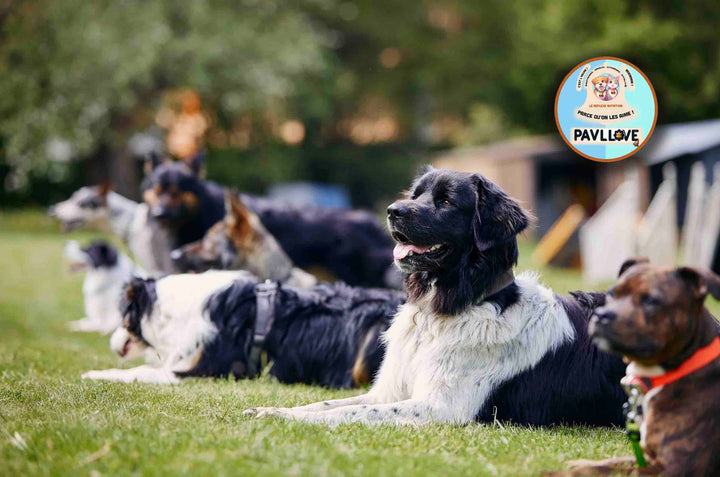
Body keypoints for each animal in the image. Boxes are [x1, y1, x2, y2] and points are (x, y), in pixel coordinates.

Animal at [245, 168, 628, 428]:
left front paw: (286, 419)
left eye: (445, 202)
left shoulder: (443, 407)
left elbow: (353, 411)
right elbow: (329, 405)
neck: (443, 310)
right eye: (415, 196)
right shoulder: (388, 392)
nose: (393, 210)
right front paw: (273, 411)